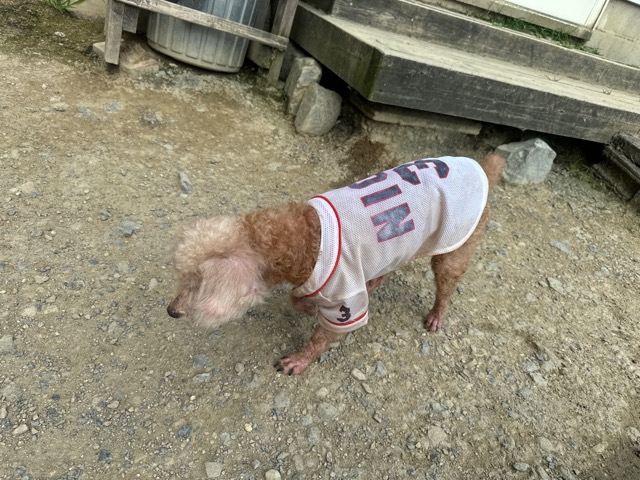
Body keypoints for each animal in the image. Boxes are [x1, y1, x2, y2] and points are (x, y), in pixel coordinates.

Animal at [167, 153, 504, 375]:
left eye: (196, 284)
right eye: (182, 278)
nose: (171, 311)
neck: (299, 237)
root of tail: (481, 168)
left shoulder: (345, 297)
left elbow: (321, 337)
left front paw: (298, 361)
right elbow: (295, 298)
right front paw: (305, 306)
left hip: (456, 245)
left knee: (446, 284)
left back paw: (436, 315)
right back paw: (376, 280)